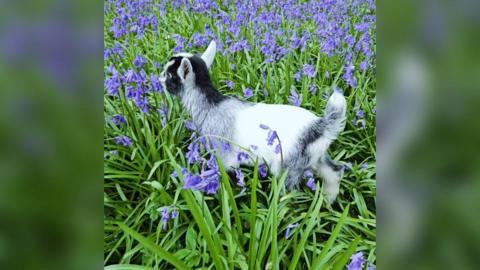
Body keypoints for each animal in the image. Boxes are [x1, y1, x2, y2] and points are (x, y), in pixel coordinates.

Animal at [159, 40, 346, 202]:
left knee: (289, 192)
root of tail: (320, 127)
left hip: (288, 166)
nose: (159, 78)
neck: (211, 105)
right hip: (317, 158)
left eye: (169, 75)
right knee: (334, 172)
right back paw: (329, 200)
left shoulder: (225, 156)